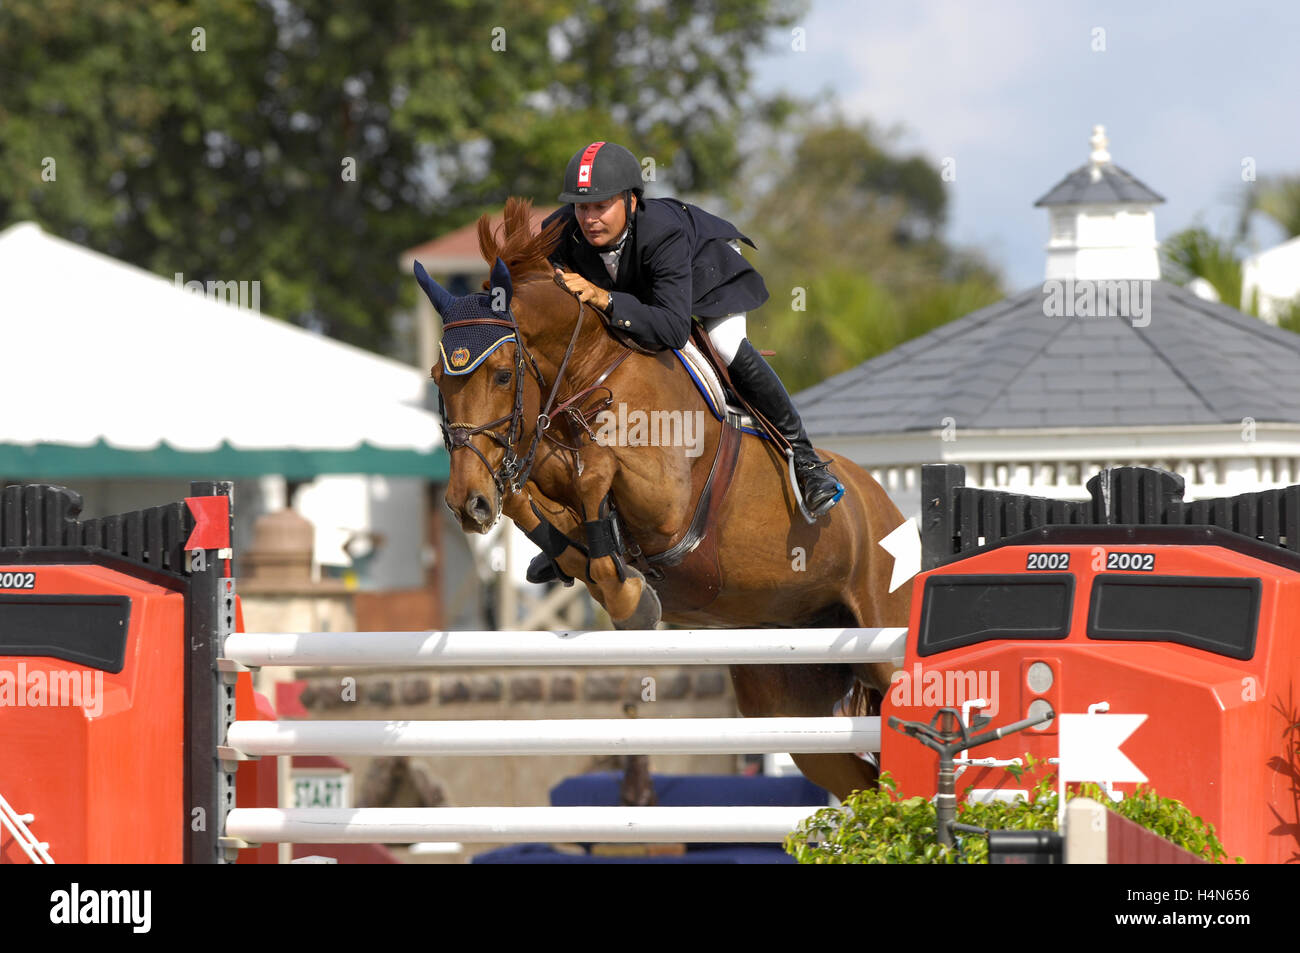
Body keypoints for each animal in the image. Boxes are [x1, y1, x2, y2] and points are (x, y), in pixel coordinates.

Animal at [421, 197, 909, 800]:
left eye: (502, 374)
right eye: (438, 378)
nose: (467, 503)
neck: (590, 367)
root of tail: (887, 506)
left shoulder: (667, 505)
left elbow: (595, 470)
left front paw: (628, 596)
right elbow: (538, 501)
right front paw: (596, 569)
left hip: (886, 640)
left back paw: (817, 482)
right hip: (793, 697)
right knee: (865, 785)